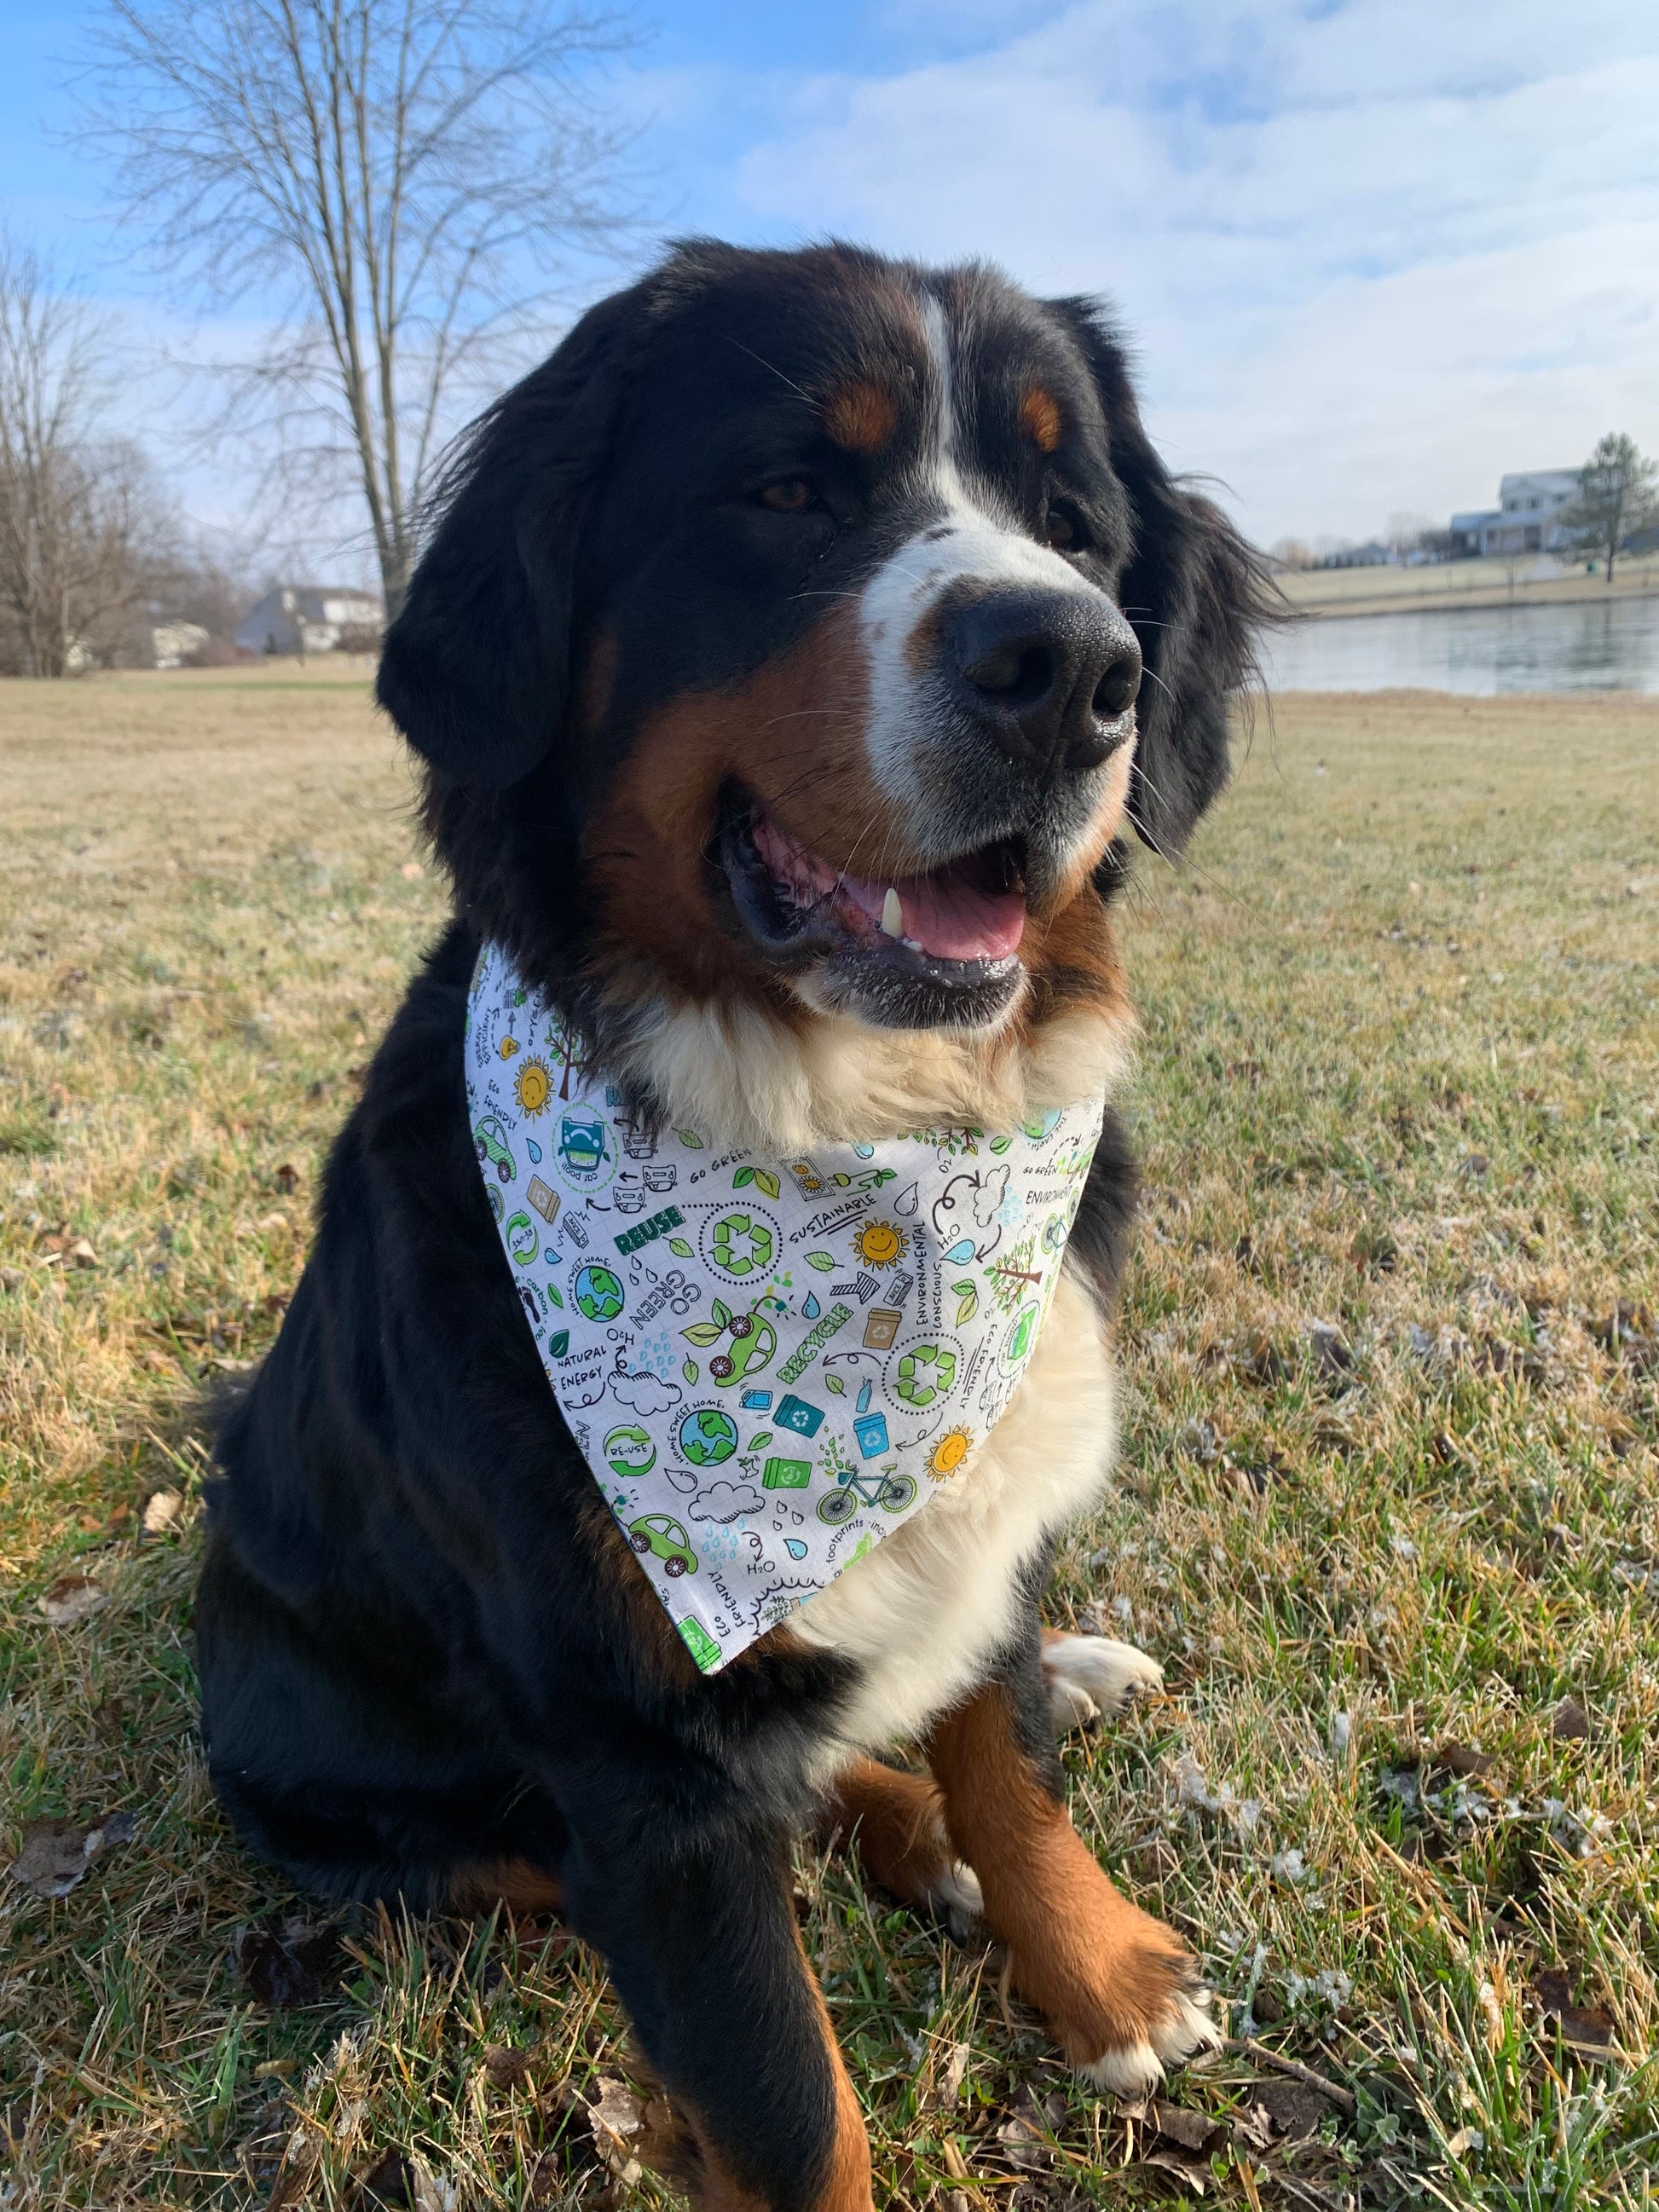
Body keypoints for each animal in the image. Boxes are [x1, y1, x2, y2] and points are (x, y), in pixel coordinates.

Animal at [198, 242, 1274, 2212]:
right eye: (785, 493)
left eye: (1073, 522)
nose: (1075, 667)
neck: (859, 1149)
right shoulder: (638, 1767)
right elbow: (784, 2099)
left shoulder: (975, 1481)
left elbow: (1006, 1745)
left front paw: (1092, 1965)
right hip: (390, 1807)